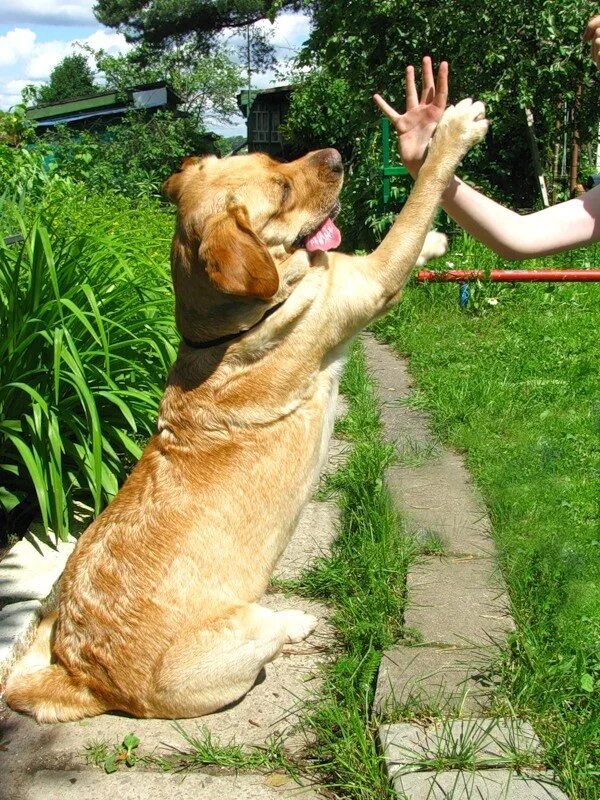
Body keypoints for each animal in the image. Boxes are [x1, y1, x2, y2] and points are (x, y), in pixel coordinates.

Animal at [2, 97, 486, 720]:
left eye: (273, 158)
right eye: (280, 190)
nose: (338, 155)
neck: (227, 329)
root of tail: (84, 678)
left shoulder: (352, 271)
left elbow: (393, 235)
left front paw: (437, 242)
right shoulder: (370, 282)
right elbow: (414, 205)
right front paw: (452, 132)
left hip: (48, 613)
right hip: (246, 628)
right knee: (273, 631)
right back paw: (298, 623)